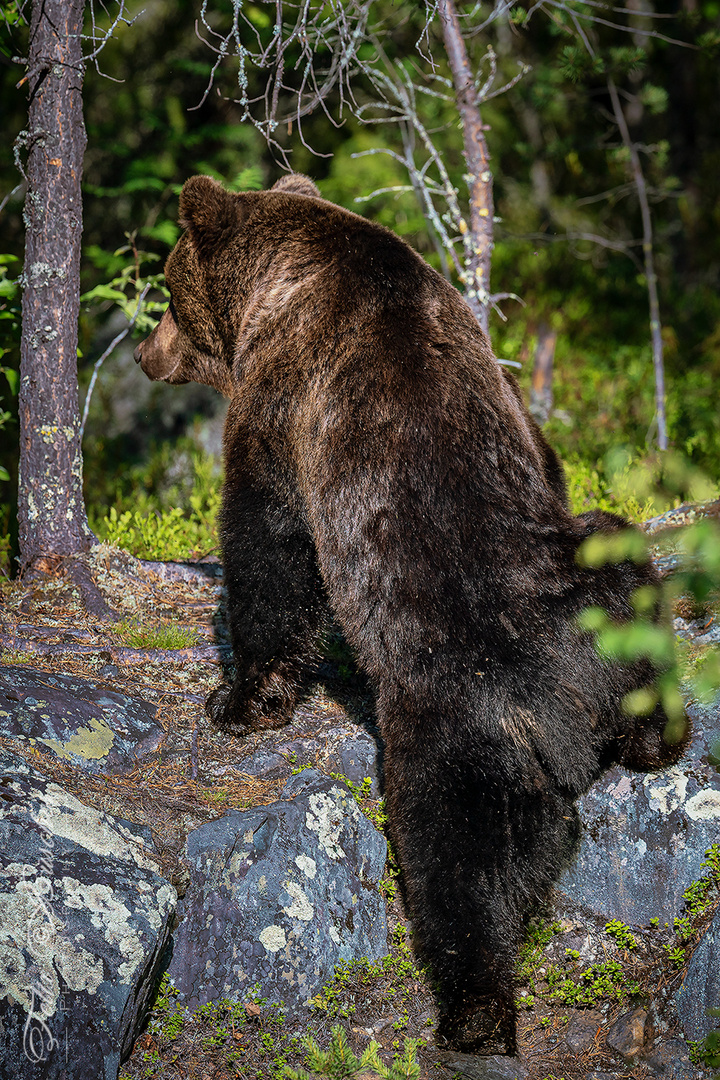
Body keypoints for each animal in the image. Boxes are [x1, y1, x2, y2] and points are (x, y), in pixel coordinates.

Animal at [133, 172, 686, 1058]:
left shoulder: (285, 403)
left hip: (454, 727)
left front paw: (238, 699)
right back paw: (663, 732)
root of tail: (573, 713)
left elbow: (269, 545)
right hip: (594, 582)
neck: (281, 283)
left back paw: (472, 1015)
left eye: (168, 289)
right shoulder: (504, 389)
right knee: (625, 556)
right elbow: (547, 452)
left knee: (457, 865)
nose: (146, 353)